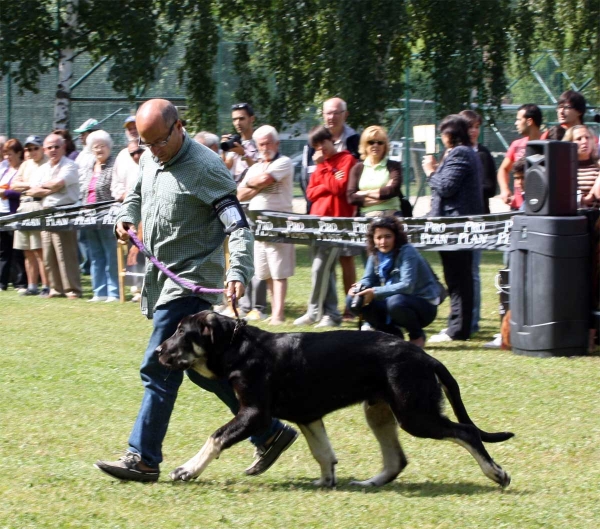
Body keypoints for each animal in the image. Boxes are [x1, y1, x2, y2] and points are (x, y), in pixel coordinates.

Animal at [156, 310, 510, 486]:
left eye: (182, 332)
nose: (159, 351)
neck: (238, 347)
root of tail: (426, 357)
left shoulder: (255, 412)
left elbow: (215, 437)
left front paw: (186, 470)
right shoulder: (308, 415)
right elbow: (322, 452)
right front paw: (326, 481)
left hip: (415, 414)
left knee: (466, 432)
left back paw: (496, 474)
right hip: (380, 411)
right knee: (397, 459)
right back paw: (369, 483)